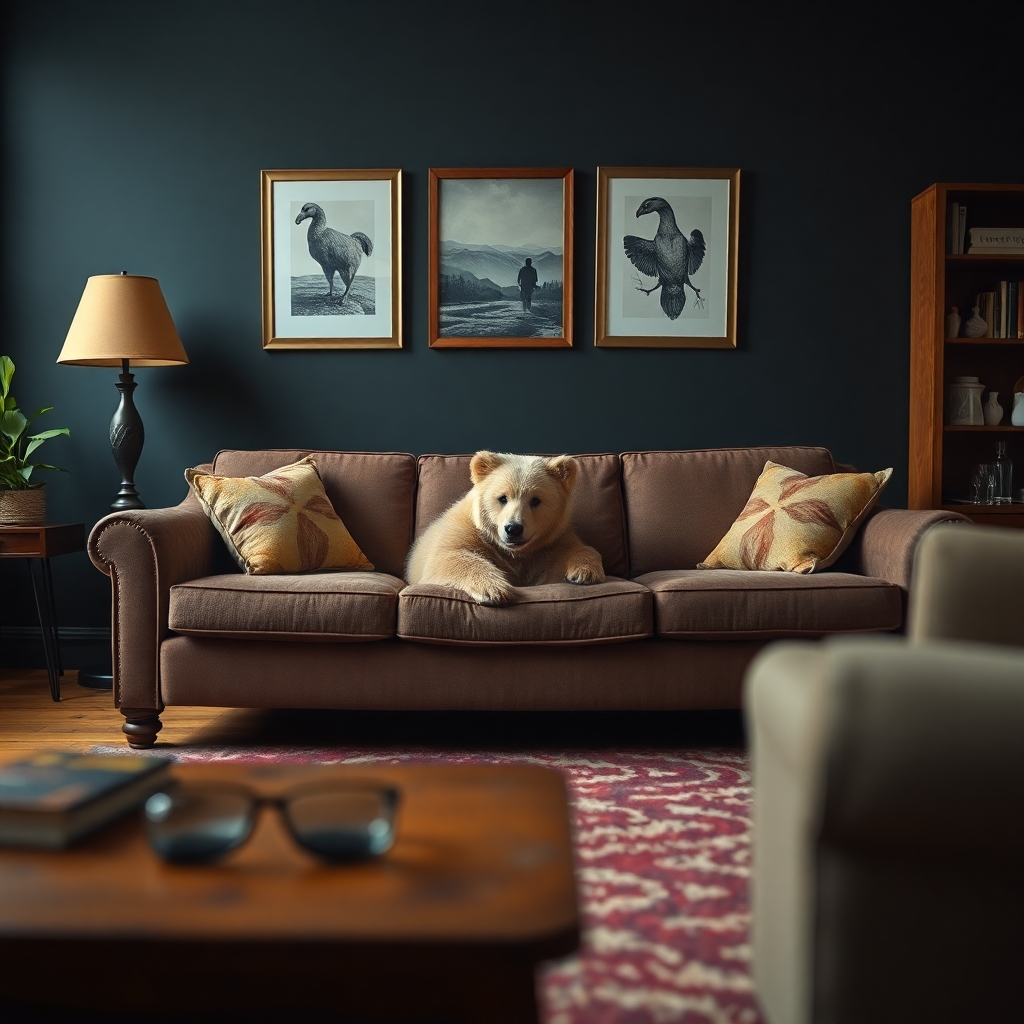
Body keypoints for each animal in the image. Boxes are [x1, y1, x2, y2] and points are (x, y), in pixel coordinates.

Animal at [405, 451, 606, 606]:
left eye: (535, 500)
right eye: (503, 498)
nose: (513, 529)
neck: (515, 553)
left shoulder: (550, 544)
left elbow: (574, 551)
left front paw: (584, 573)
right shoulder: (467, 532)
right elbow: (446, 558)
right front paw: (493, 590)